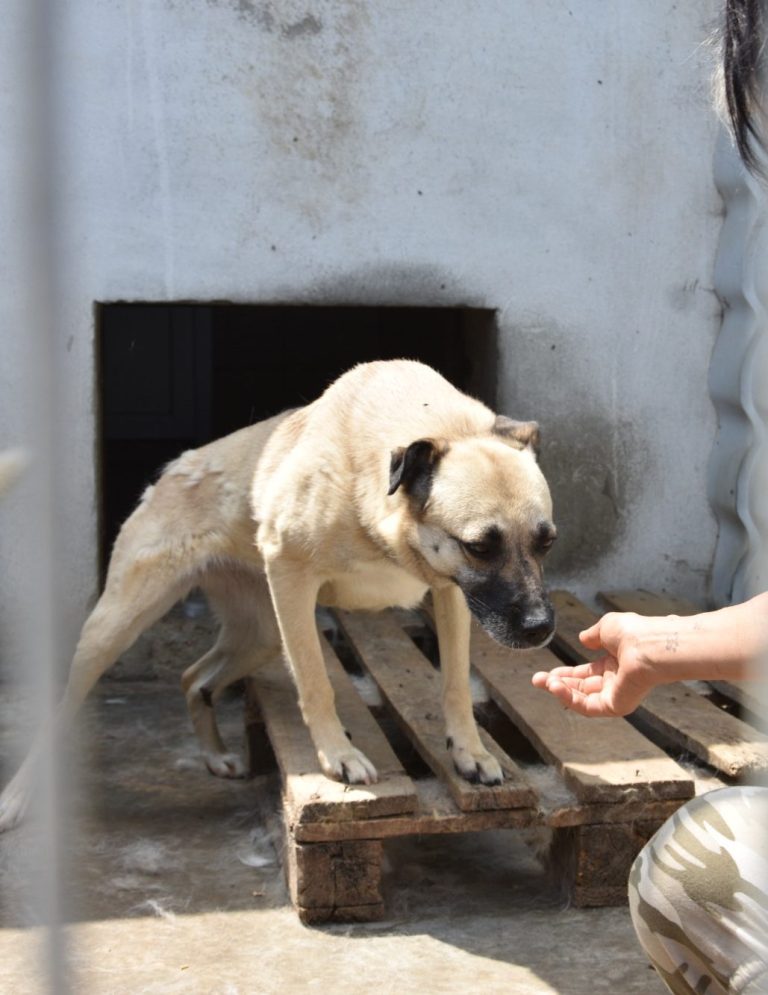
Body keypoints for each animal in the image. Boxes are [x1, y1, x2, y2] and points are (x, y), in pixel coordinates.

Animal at [0, 359, 556, 830]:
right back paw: (18, 798)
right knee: (62, 709)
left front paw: (470, 753)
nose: (541, 629)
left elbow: (456, 682)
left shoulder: (452, 594)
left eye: (547, 541)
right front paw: (338, 757)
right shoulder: (292, 579)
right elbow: (315, 681)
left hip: (263, 632)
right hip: (117, 626)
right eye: (480, 547)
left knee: (193, 677)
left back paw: (215, 755)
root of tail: (173, 469)